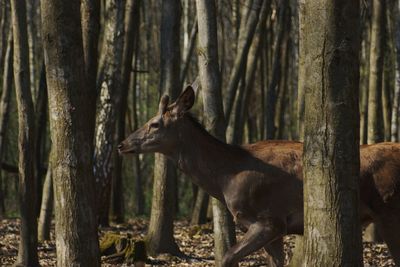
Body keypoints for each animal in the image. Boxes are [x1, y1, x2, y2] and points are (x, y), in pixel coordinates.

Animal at [118, 86, 400, 267]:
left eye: (154, 124)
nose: (122, 144)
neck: (224, 179)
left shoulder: (269, 219)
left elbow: (227, 257)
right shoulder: (275, 228)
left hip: (389, 211)